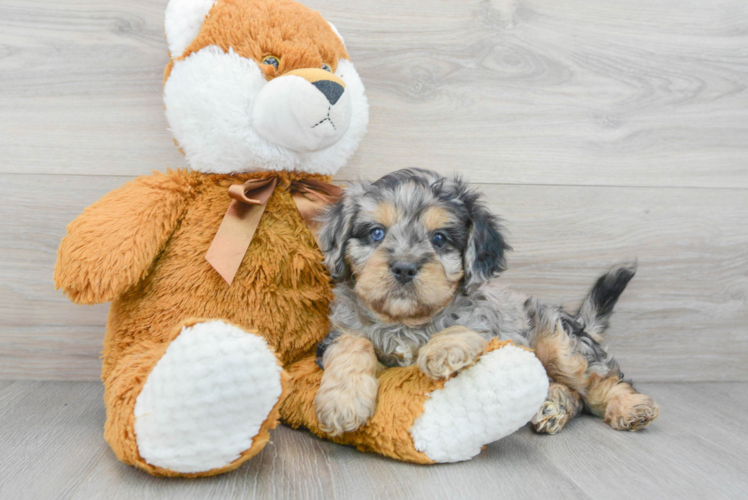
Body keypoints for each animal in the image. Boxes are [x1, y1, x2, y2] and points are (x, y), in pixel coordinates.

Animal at [312, 170, 656, 436]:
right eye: (376, 233)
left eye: (439, 239)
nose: (404, 268)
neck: (406, 321)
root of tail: (580, 323)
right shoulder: (336, 333)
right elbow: (352, 344)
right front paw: (342, 402)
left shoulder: (489, 323)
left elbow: (465, 326)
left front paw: (442, 349)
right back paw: (553, 406)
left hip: (560, 344)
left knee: (597, 381)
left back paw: (628, 407)